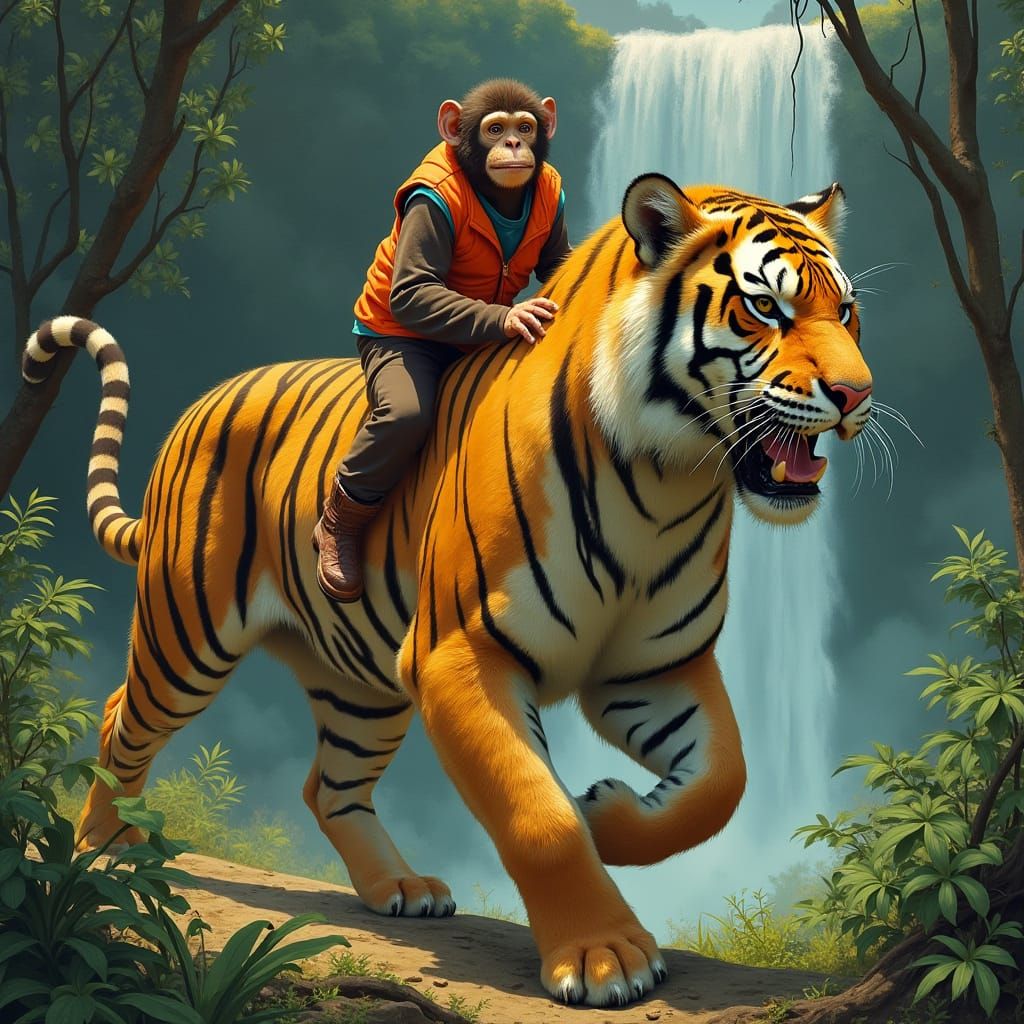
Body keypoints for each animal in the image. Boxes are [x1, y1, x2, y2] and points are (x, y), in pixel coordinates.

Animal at [29, 172, 871, 1009]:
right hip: (188, 631)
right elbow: (535, 811)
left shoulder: (653, 669)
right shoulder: (460, 656)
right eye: (767, 307)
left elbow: (724, 781)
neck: (668, 477)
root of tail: (204, 399)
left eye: (845, 310)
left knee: (328, 786)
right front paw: (603, 957)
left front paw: (608, 813)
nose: (858, 395)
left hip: (361, 689)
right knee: (122, 716)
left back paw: (398, 887)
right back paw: (106, 845)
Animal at [313, 78, 572, 603]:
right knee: (401, 418)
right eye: (494, 128)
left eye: (525, 127)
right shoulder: (427, 209)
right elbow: (414, 287)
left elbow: (559, 256)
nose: (512, 145)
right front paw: (514, 316)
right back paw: (335, 542)